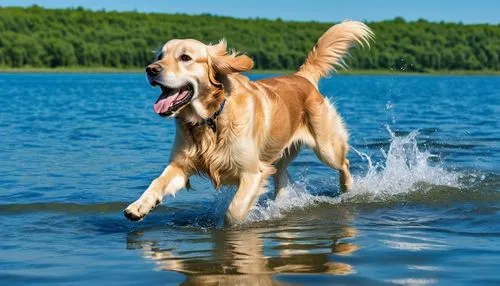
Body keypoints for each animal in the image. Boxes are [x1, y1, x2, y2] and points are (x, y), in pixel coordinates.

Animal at [123, 21, 374, 225]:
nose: (150, 69)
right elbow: (157, 181)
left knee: (344, 164)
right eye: (159, 56)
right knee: (282, 179)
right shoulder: (181, 165)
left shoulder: (253, 172)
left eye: (185, 58)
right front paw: (139, 205)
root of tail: (302, 77)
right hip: (280, 155)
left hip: (326, 148)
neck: (210, 120)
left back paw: (347, 189)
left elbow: (233, 211)